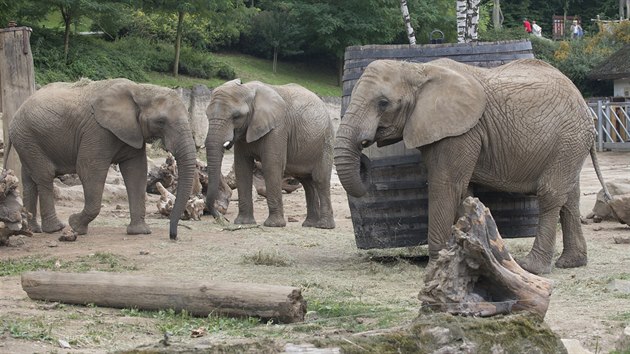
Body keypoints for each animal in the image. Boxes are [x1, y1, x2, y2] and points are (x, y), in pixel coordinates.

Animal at [8, 78, 198, 239]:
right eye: (161, 121)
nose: (173, 236)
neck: (139, 89)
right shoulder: (98, 131)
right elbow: (89, 170)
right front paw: (75, 225)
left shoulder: (132, 132)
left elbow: (136, 172)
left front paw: (140, 232)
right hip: (28, 138)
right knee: (45, 176)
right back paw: (56, 228)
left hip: (27, 141)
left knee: (29, 179)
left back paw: (34, 230)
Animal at [206, 79, 336, 230]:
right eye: (207, 115)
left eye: (236, 116)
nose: (222, 219)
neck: (248, 89)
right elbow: (242, 168)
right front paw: (243, 223)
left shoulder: (278, 128)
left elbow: (271, 165)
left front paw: (274, 225)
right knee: (307, 183)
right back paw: (309, 224)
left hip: (326, 143)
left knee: (320, 179)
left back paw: (324, 226)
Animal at [336, 57, 612, 274]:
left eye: (383, 103)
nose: (365, 156)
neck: (417, 69)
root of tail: (585, 105)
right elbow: (463, 191)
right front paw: (464, 257)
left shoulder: (459, 131)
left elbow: (445, 186)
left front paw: (435, 265)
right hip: (570, 145)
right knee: (570, 196)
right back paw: (571, 263)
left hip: (568, 139)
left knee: (551, 194)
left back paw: (532, 267)